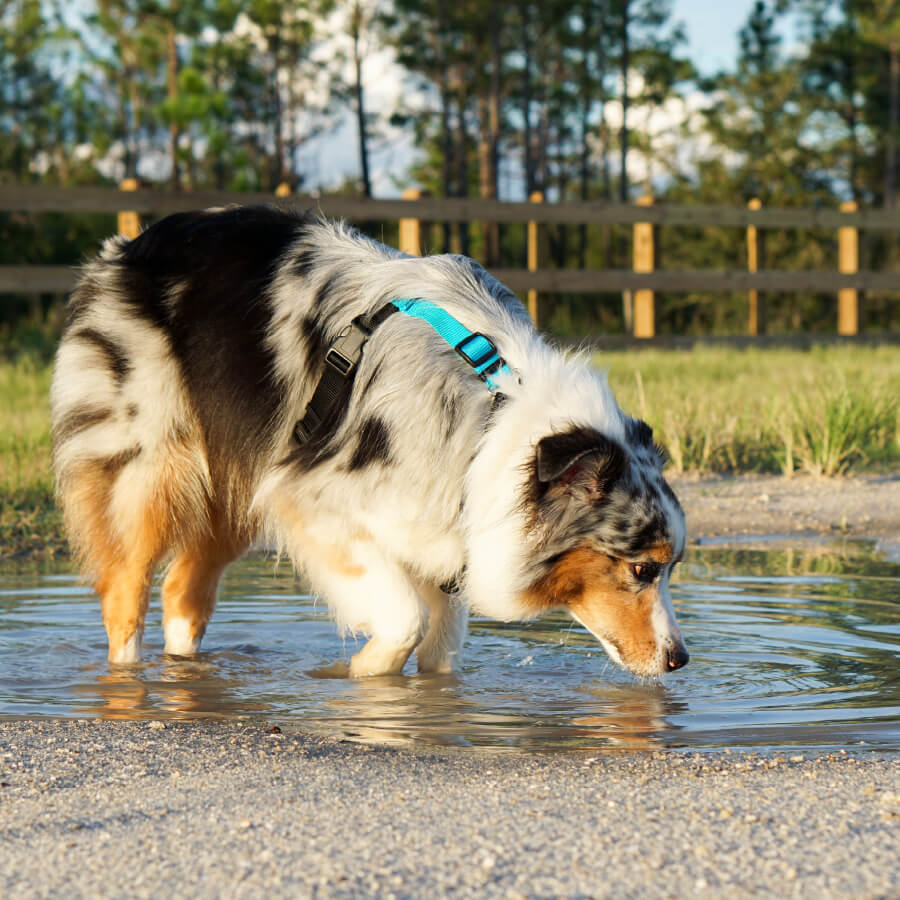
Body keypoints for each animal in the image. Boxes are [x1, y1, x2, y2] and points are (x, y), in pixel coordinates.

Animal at [51, 206, 688, 676]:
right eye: (642, 570)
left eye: (669, 568)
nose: (680, 660)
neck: (493, 415)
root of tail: (125, 247)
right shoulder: (311, 499)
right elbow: (403, 620)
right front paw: (363, 676)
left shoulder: (442, 529)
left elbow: (440, 649)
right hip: (153, 469)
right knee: (126, 590)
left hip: (236, 480)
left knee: (182, 592)